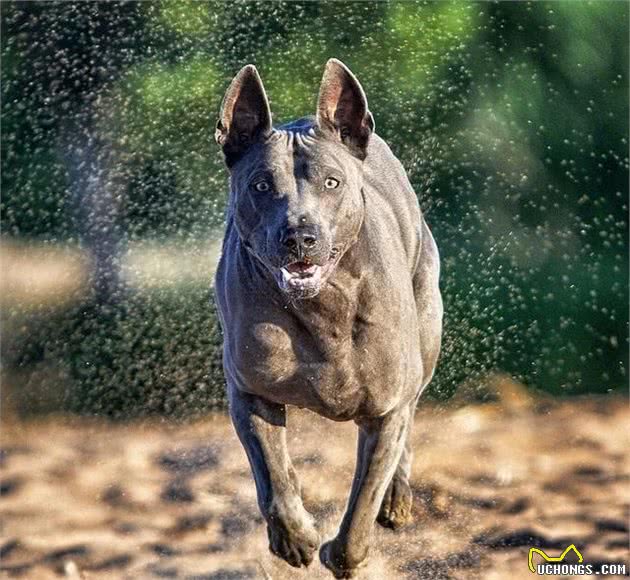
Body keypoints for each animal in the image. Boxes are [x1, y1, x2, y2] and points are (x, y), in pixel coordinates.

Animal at [215, 57, 442, 576]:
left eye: (332, 183)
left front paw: (343, 553)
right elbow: (273, 476)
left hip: (426, 333)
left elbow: (362, 501)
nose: (300, 235)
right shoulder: (250, 391)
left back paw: (396, 500)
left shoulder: (384, 409)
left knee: (411, 417)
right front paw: (296, 537)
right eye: (261, 185)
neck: (322, 306)